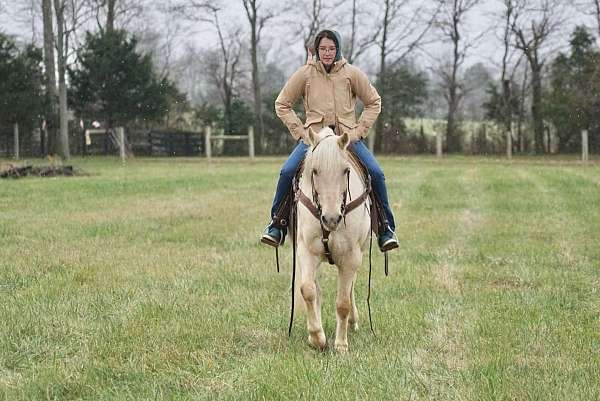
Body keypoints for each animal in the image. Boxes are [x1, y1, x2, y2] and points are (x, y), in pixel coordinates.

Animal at [294, 126, 372, 350]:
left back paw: (353, 322)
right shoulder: (306, 251)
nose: (331, 219)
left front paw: (341, 344)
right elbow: (308, 290)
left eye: (345, 171)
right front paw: (316, 337)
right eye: (314, 171)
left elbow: (343, 302)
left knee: (350, 288)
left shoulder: (351, 258)